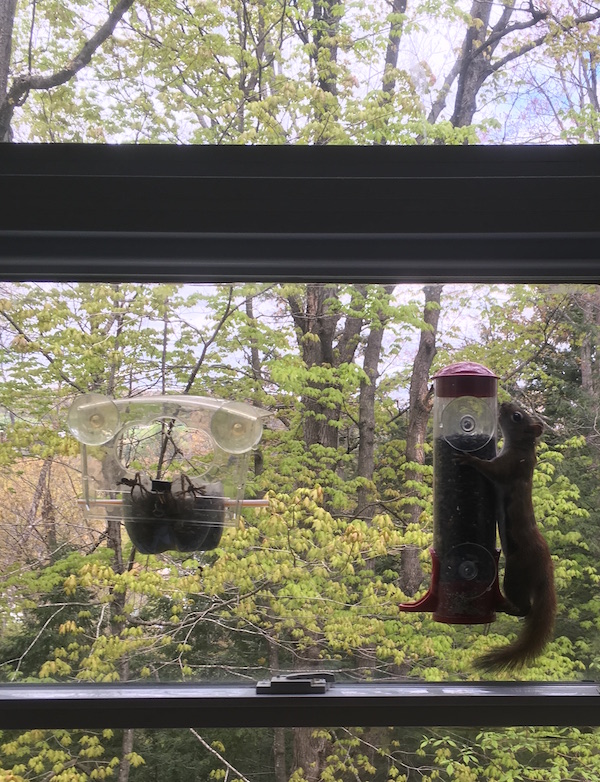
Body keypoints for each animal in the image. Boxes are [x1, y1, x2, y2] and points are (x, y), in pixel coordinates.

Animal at [460, 402, 552, 672]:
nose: (503, 404)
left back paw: (502, 604)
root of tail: (546, 570)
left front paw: (469, 458)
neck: (522, 450)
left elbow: (490, 469)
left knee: (525, 608)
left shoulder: (509, 467)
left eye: (517, 416)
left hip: (516, 575)